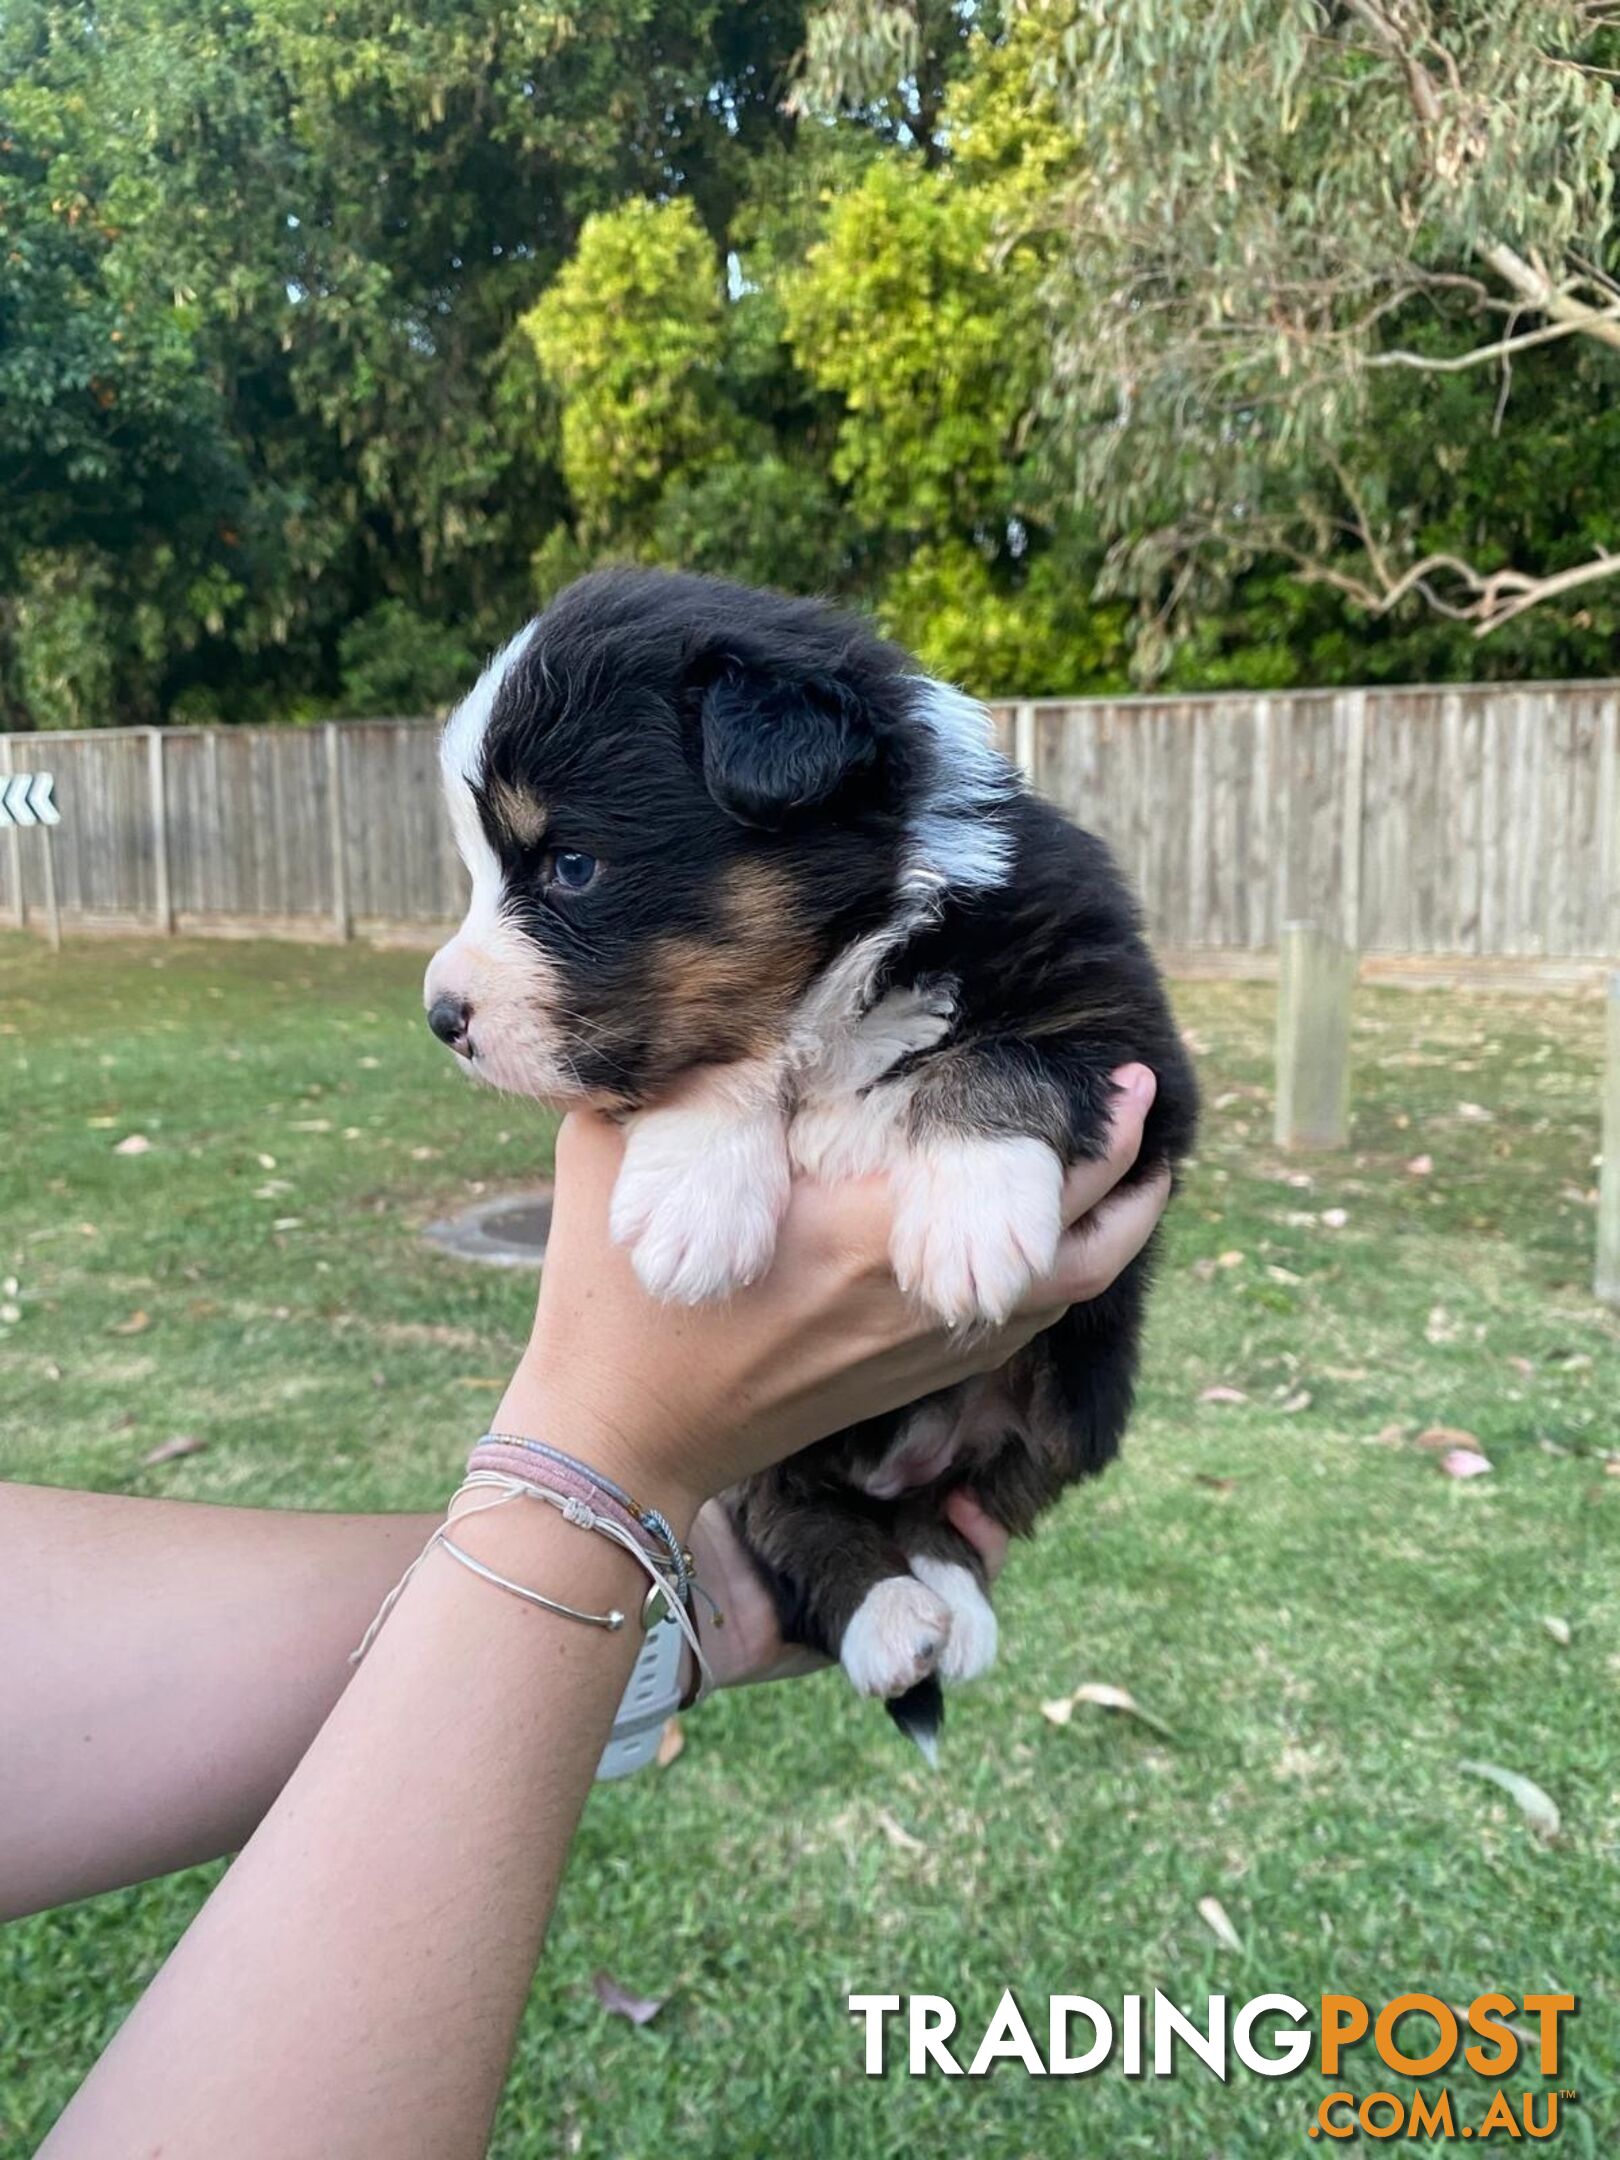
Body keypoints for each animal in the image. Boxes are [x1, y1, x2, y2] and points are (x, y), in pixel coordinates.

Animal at [425, 565, 1200, 1745]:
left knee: (958, 1503)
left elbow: (1007, 1059)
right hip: (780, 1451)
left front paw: (969, 1220)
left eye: (571, 866)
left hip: (1083, 1396)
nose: (441, 1016)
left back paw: (948, 1604)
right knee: (796, 1511)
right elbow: (715, 1066)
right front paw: (694, 1208)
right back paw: (889, 1618)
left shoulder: (1133, 1040)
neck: (847, 969)